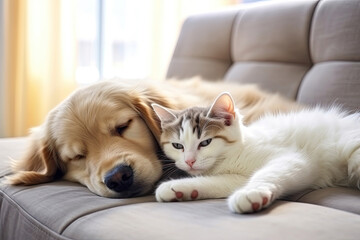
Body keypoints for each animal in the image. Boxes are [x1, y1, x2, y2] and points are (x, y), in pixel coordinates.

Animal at [151, 92, 360, 214]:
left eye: (206, 142)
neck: (234, 153)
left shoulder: (293, 158)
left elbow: (268, 172)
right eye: (177, 146)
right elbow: (216, 182)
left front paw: (252, 193)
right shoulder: (234, 176)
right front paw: (179, 188)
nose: (189, 161)